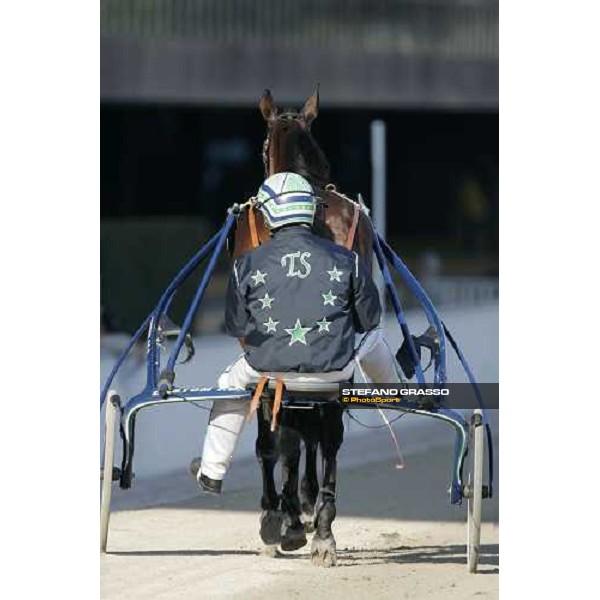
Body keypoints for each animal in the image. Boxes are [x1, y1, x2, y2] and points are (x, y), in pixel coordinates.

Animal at [229, 86, 376, 564]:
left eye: (260, 148)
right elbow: (299, 431)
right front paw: (299, 510)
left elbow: (281, 435)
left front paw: (282, 513)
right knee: (325, 432)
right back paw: (317, 522)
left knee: (301, 434)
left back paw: (297, 519)